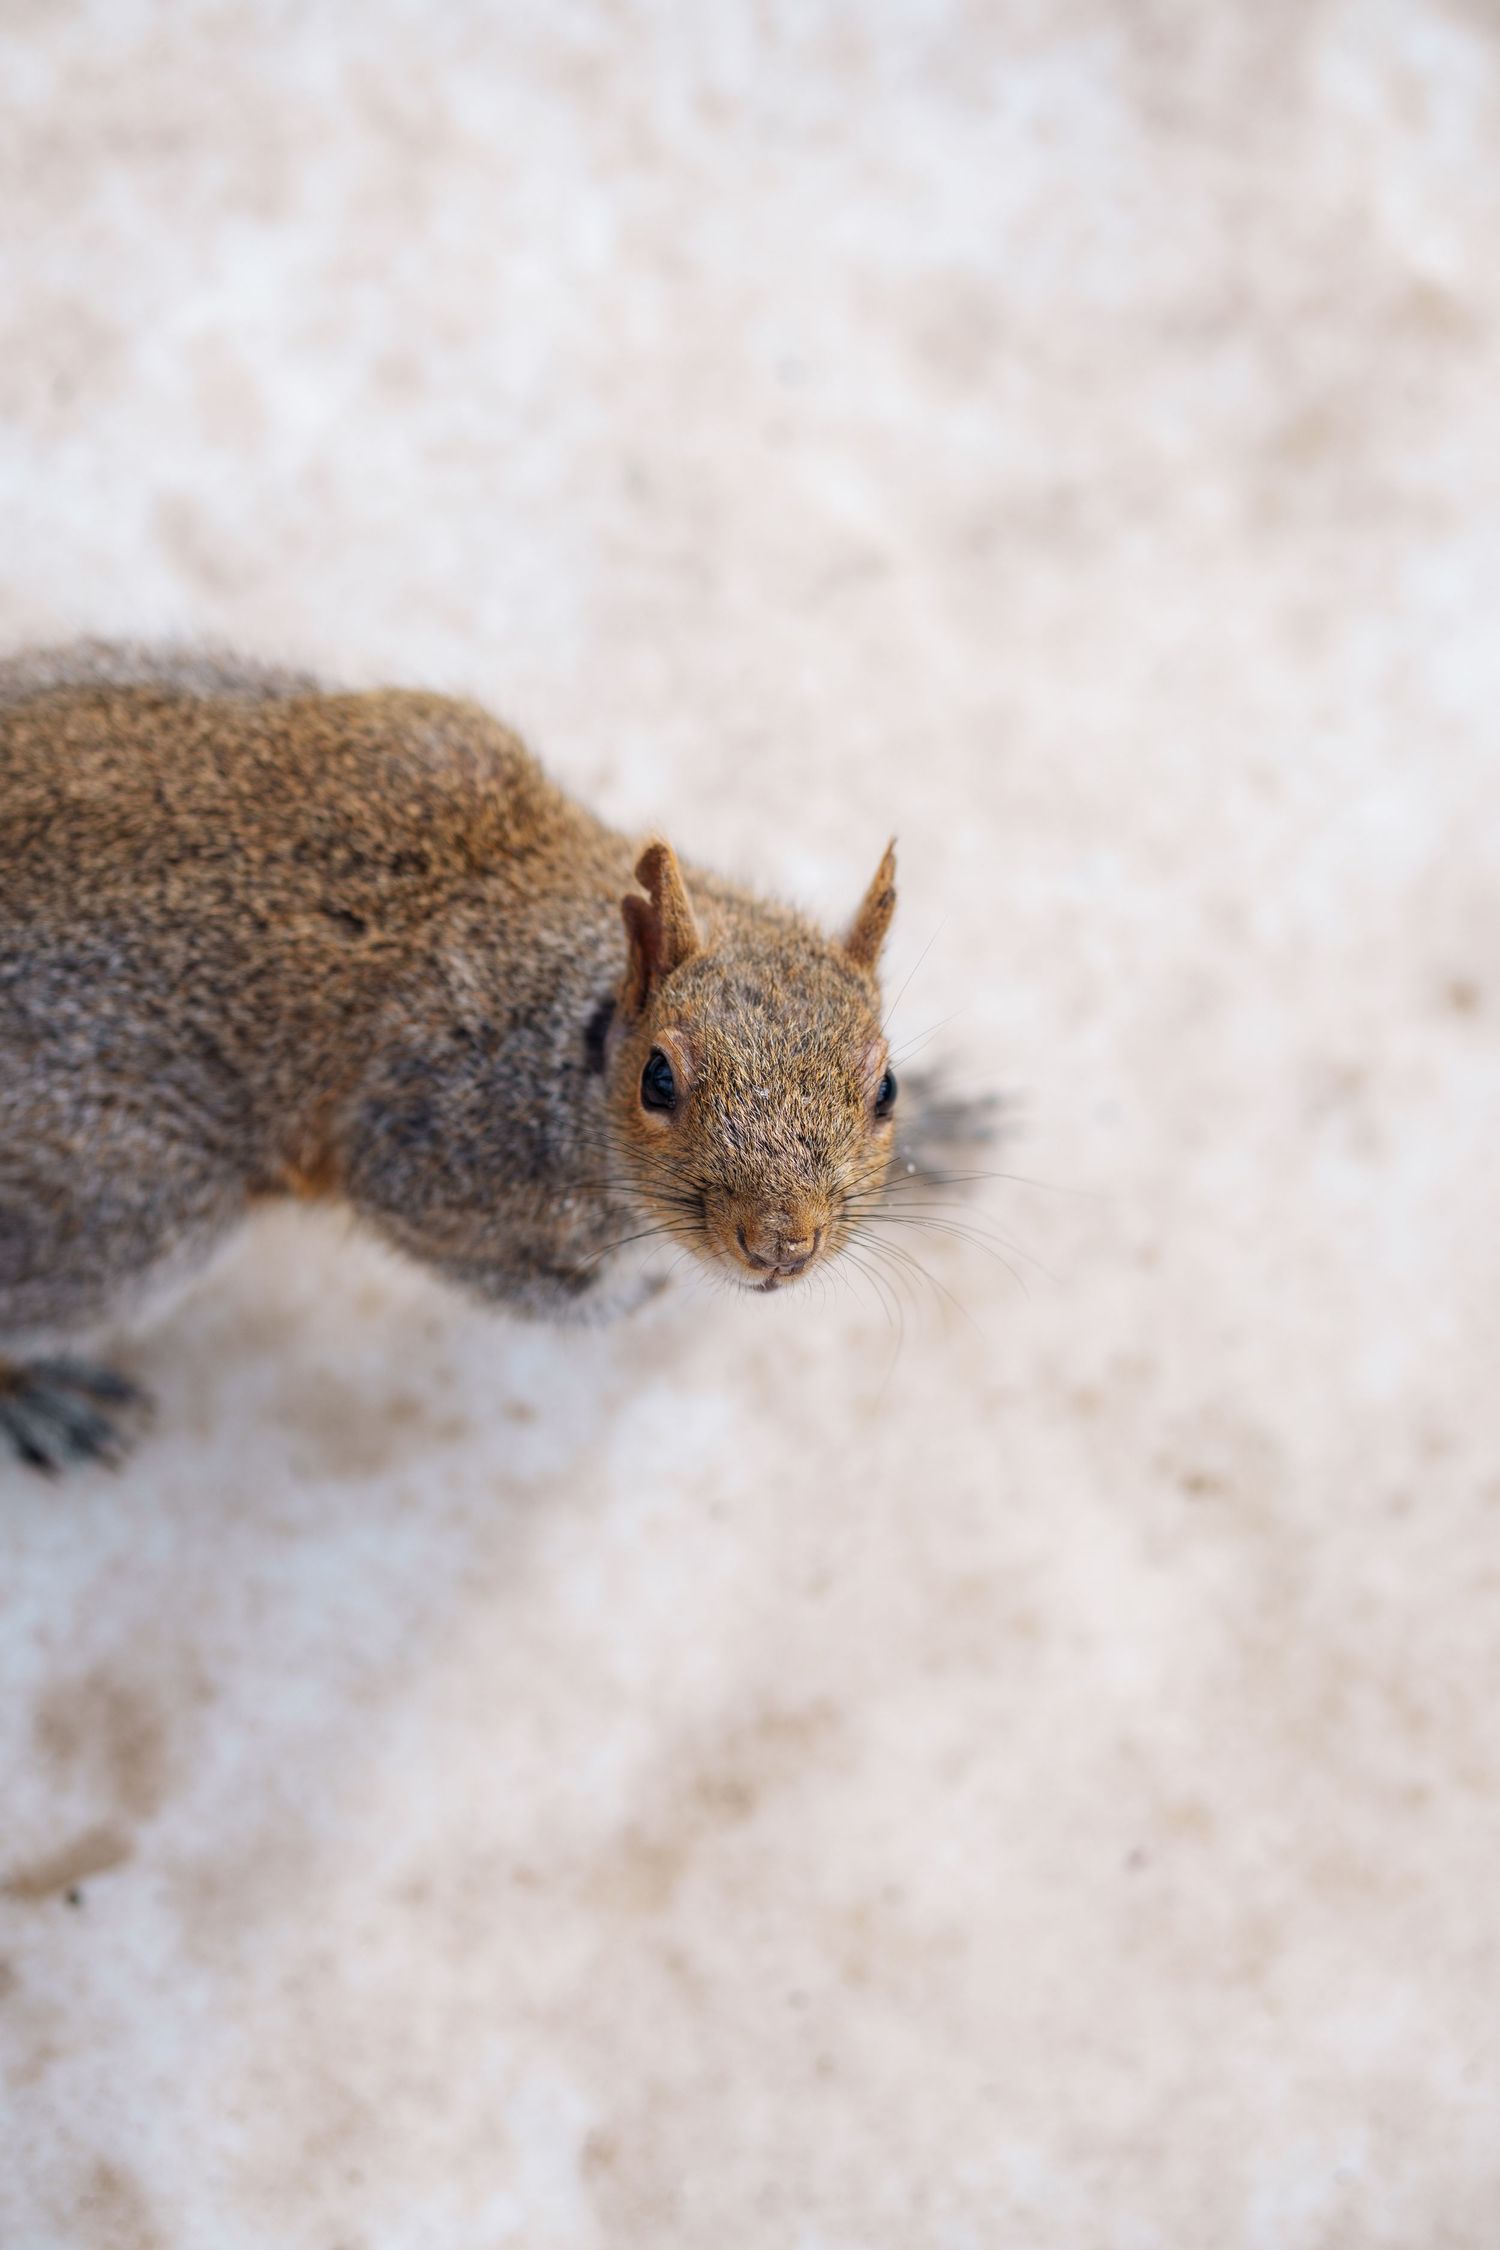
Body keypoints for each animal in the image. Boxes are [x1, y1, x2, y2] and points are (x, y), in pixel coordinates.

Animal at [0, 640, 976, 1473]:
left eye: (885, 1086)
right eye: (658, 1079)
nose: (781, 1246)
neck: (564, 1033)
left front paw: (945, 1126)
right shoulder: (422, 1161)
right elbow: (517, 1285)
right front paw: (626, 1295)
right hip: (119, 1200)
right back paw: (37, 1396)